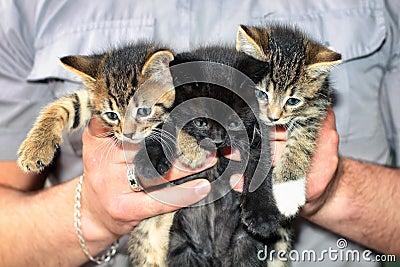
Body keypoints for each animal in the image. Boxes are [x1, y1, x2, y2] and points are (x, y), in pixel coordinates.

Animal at [17, 42, 173, 174]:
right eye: (112, 115)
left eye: (144, 111)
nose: (128, 135)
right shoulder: (89, 99)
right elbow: (65, 105)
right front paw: (35, 147)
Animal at [129, 47, 288, 267]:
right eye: (201, 123)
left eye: (233, 122)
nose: (218, 140)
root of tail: (214, 255)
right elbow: (162, 128)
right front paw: (148, 161)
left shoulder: (259, 139)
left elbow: (260, 170)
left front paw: (263, 215)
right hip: (181, 245)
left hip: (244, 243)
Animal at [236, 24, 342, 220]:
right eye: (261, 93)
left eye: (292, 101)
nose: (273, 117)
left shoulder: (316, 107)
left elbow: (301, 142)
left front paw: (288, 190)